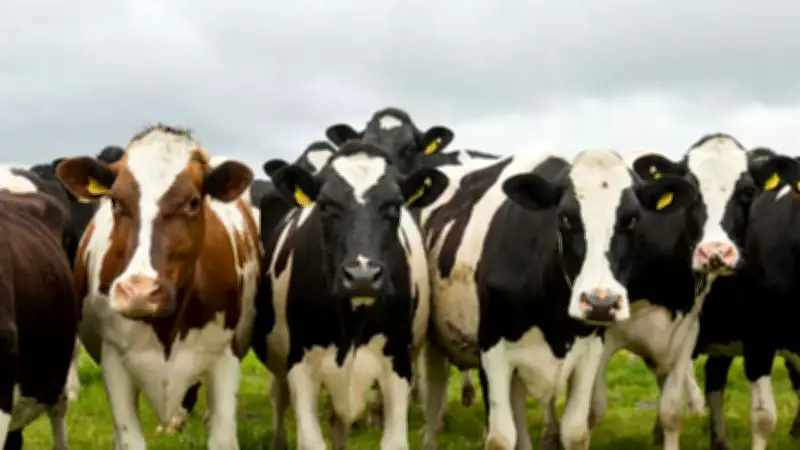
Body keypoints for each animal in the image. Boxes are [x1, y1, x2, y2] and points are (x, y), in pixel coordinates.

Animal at [54, 124, 260, 449]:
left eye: (193, 202)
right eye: (115, 200)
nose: (139, 293)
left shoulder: (227, 356)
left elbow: (223, 438)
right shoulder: (114, 361)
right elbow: (129, 439)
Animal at [251, 140, 449, 450]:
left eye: (394, 205)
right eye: (325, 205)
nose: (362, 276)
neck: (353, 324)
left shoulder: (398, 363)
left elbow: (394, 441)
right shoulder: (301, 364)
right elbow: (310, 441)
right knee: (279, 397)